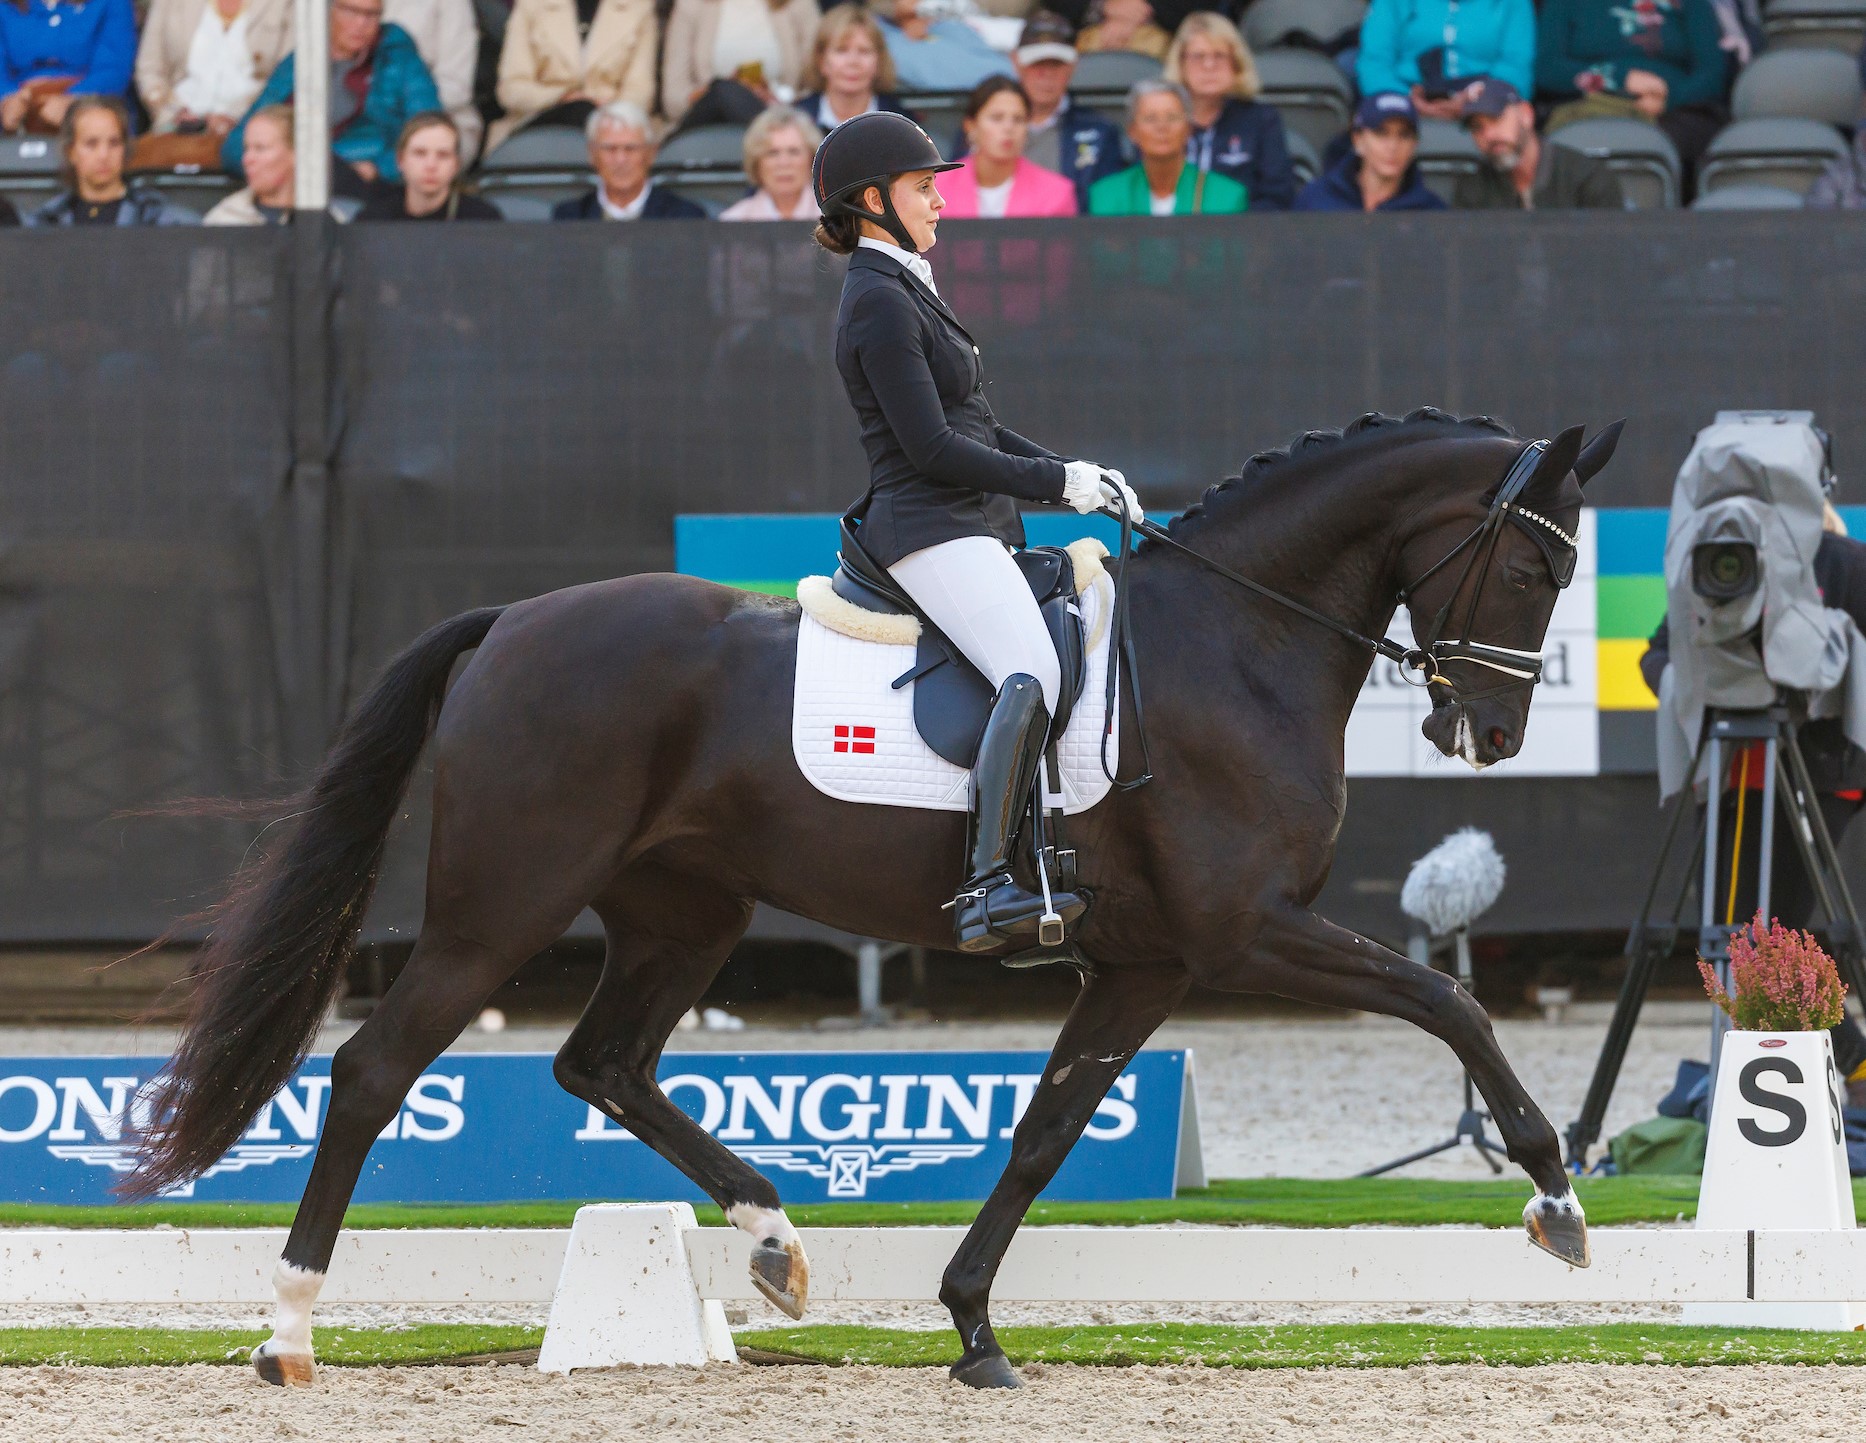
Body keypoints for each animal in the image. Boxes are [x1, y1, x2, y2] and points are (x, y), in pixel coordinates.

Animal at [127, 405, 1619, 1381]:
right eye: (1533, 563)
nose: (1489, 732)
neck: (1236, 639)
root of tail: (513, 624)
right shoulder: (1244, 931)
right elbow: (1447, 1000)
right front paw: (1553, 1196)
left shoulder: (1145, 963)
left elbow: (1043, 1132)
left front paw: (972, 1328)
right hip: (504, 905)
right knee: (375, 1067)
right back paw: (287, 1328)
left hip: (685, 913)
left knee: (602, 1062)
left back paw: (775, 1239)